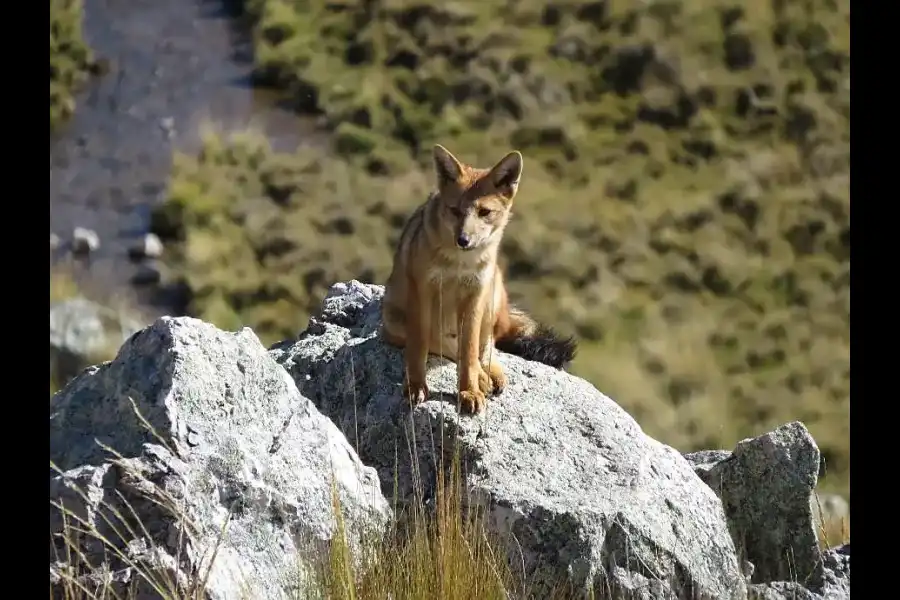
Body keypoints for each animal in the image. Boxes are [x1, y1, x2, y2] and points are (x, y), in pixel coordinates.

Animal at [380, 145, 576, 414]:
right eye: (455, 210)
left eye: (484, 212)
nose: (463, 240)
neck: (459, 264)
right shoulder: (424, 292)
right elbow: (420, 348)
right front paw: (416, 386)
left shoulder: (475, 296)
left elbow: (470, 350)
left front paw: (469, 391)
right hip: (395, 321)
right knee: (444, 345)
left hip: (492, 294)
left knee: (487, 345)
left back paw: (489, 374)